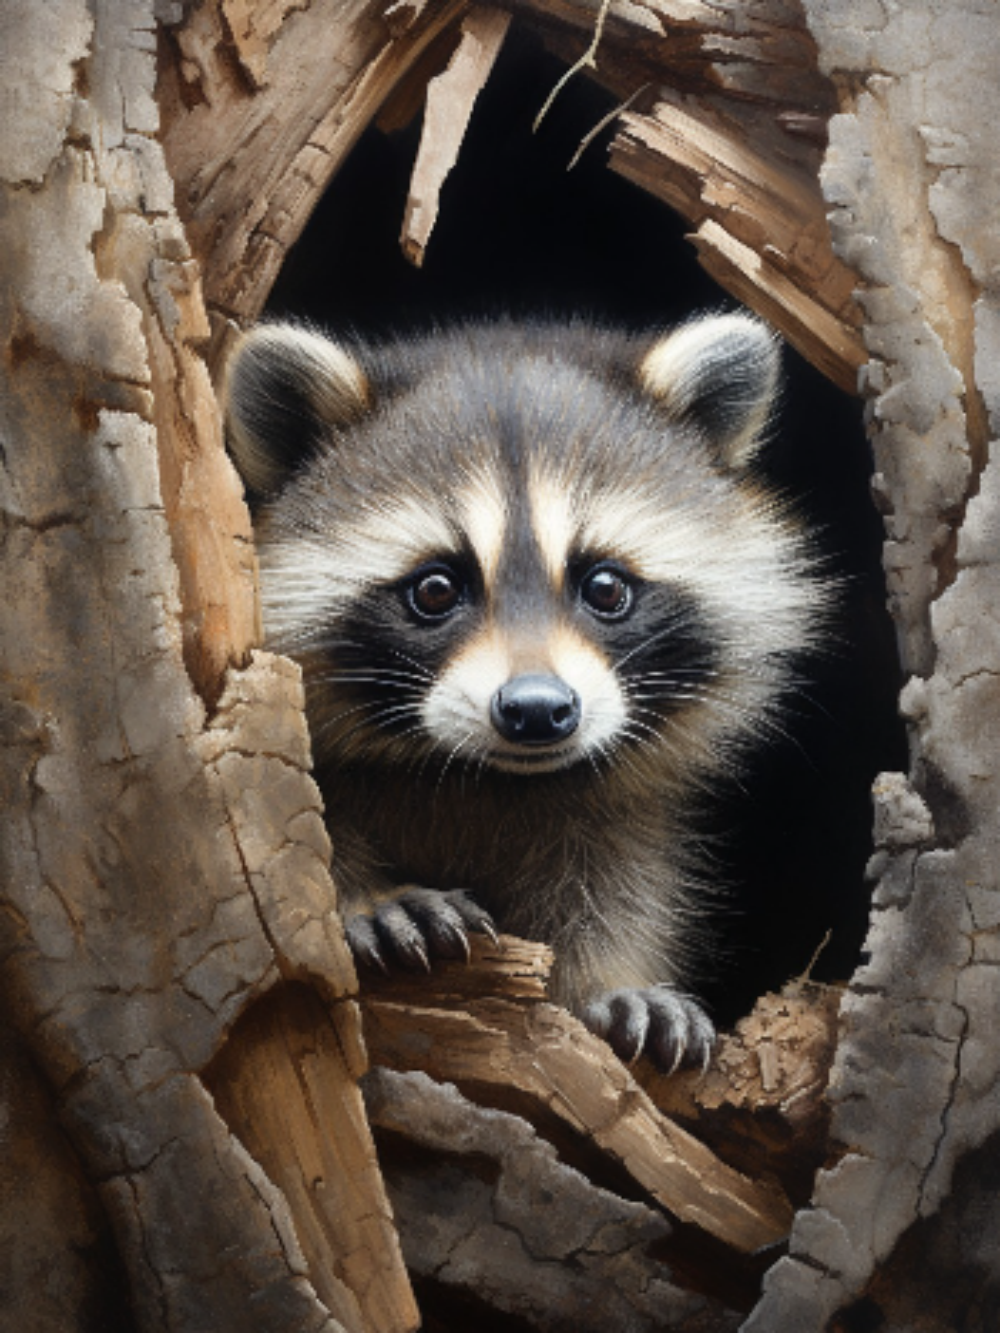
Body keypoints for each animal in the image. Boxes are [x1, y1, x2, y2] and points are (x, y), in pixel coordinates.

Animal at [223, 314, 829, 1070]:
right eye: (435, 589)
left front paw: (611, 981)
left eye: (606, 586)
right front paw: (364, 891)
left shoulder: (616, 807)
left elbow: (617, 882)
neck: (483, 776)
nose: (537, 710)